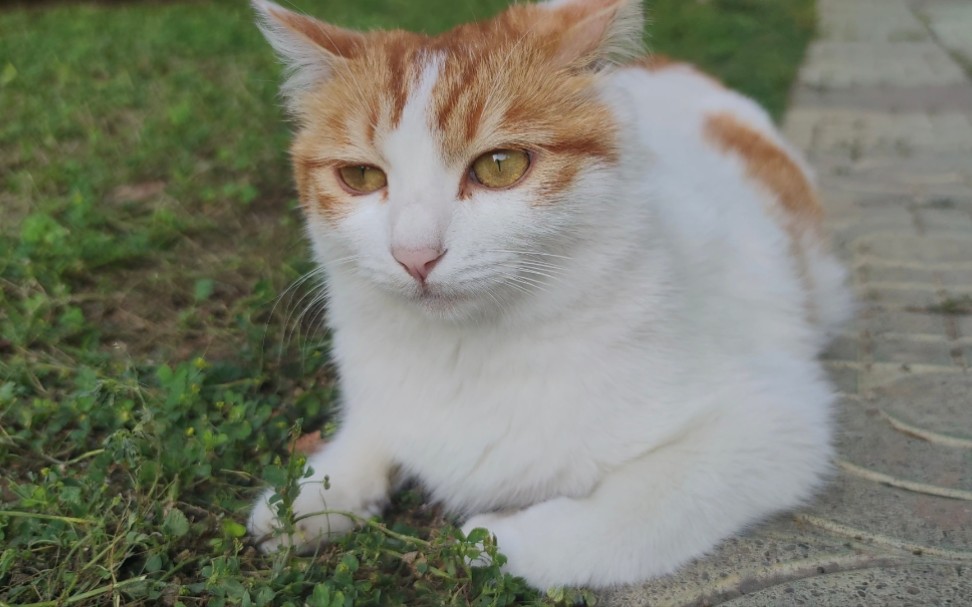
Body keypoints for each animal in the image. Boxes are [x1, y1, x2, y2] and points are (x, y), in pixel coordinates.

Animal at [247, 0, 856, 592]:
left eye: (500, 165)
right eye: (361, 176)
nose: (414, 255)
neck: (466, 353)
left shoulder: (774, 421)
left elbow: (623, 518)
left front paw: (494, 541)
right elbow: (371, 431)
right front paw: (308, 497)